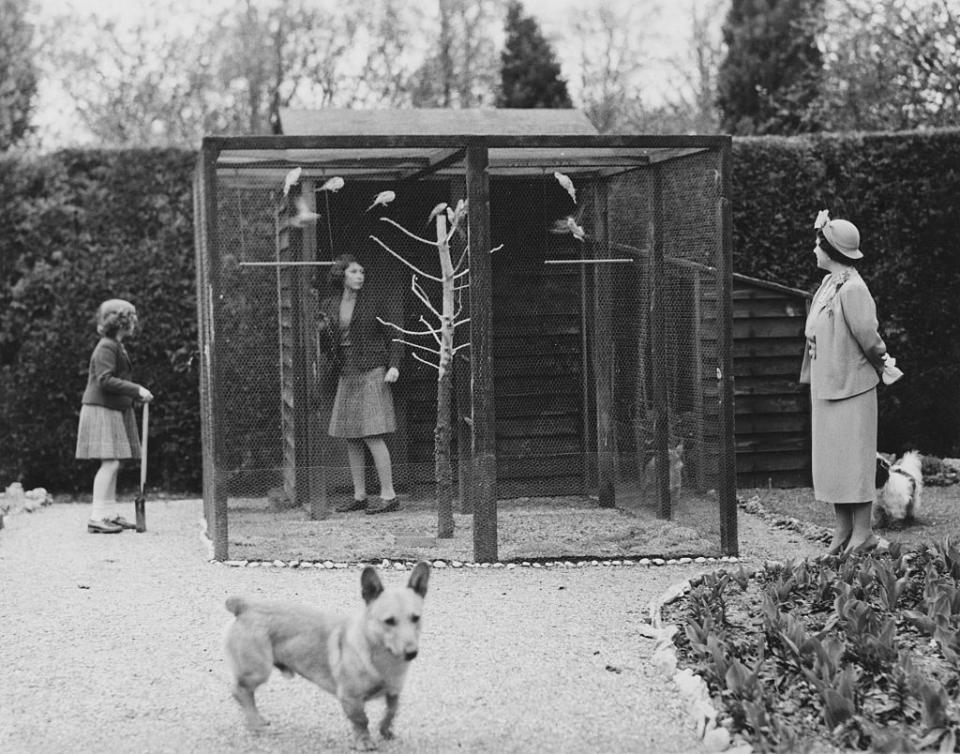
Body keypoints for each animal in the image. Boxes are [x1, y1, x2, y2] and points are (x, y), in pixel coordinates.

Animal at [223, 560, 430, 748]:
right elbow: (361, 720)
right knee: (240, 691)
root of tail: (246, 606)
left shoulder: (394, 692)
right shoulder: (351, 698)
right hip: (259, 671)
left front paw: (385, 730)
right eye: (389, 621)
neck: (382, 656)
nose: (412, 653)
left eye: (416, 618)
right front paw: (364, 741)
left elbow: (392, 711)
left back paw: (258, 719)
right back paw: (255, 723)